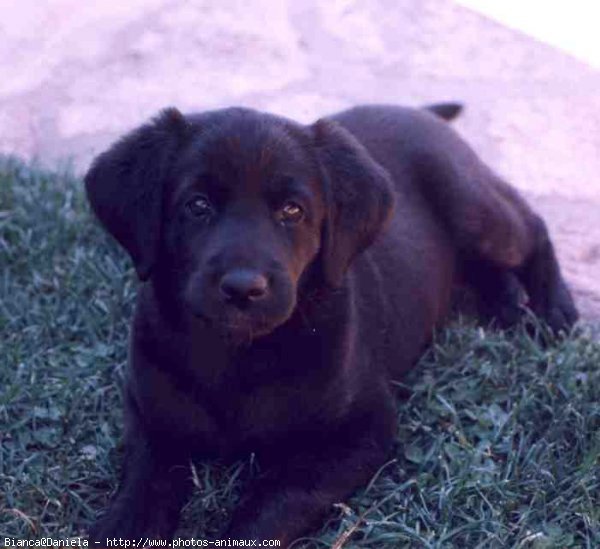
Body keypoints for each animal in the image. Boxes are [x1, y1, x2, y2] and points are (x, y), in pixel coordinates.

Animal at [84, 103, 576, 544]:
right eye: (198, 205)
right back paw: (508, 301)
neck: (239, 354)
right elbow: (144, 483)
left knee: (531, 226)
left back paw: (553, 308)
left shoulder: (362, 430)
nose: (243, 288)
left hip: (469, 203)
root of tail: (415, 109)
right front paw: (123, 523)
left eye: (292, 210)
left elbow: (277, 497)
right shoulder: (148, 412)